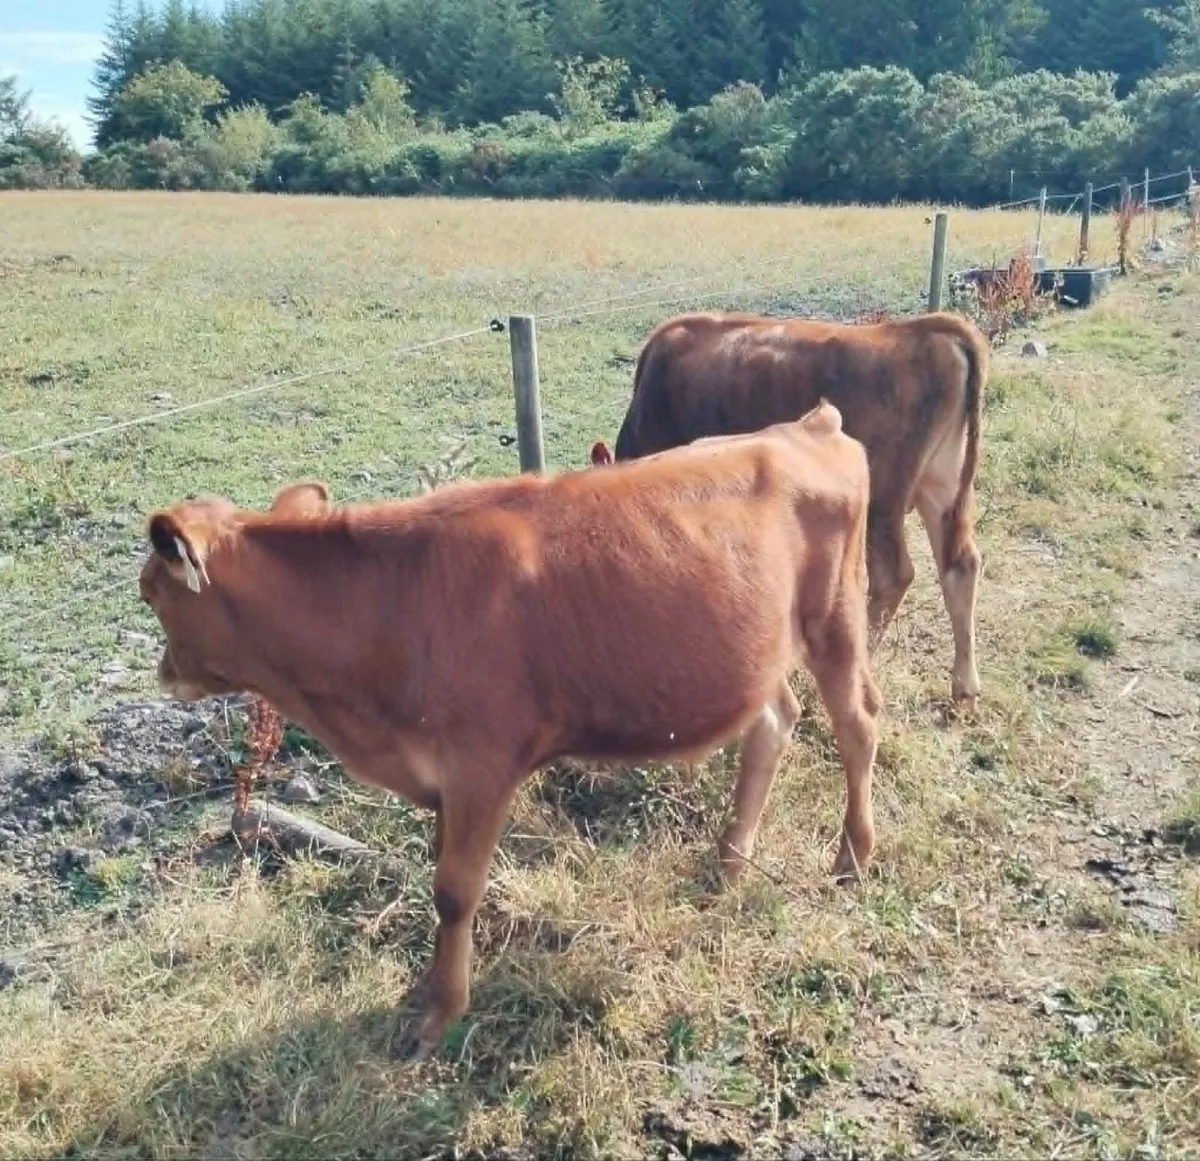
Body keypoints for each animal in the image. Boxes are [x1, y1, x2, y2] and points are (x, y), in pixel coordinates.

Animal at [137, 402, 881, 1060]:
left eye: (151, 593)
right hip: (759, 651)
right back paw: (727, 864)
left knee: (857, 726)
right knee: (775, 721)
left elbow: (453, 889)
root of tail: (807, 425)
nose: (163, 674)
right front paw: (425, 987)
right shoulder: (440, 773)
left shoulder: (480, 766)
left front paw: (439, 1015)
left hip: (836, 617)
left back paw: (850, 859)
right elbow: (439, 876)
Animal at [591, 310, 990, 707]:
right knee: (961, 565)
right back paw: (964, 687)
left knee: (893, 576)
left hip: (884, 497)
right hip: (942, 488)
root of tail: (924, 329)